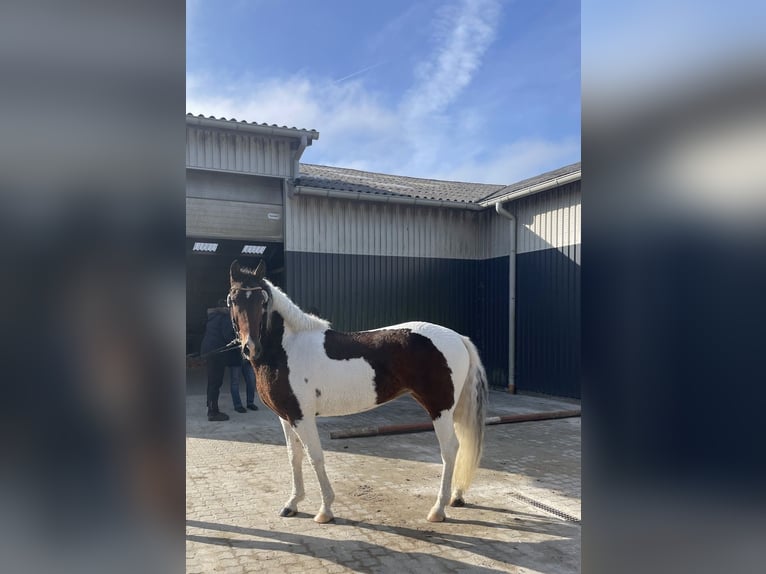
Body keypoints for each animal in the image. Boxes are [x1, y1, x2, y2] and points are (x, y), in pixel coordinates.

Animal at [228, 260, 492, 528]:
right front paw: (292, 504)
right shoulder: (286, 417)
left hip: (439, 409)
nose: (250, 348)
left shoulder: (303, 417)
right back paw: (456, 497)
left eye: (263, 301)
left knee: (449, 449)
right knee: (461, 444)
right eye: (233, 299)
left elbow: (315, 457)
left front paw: (325, 510)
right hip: (452, 409)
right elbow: (295, 457)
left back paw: (438, 509)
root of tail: (458, 337)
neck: (287, 348)